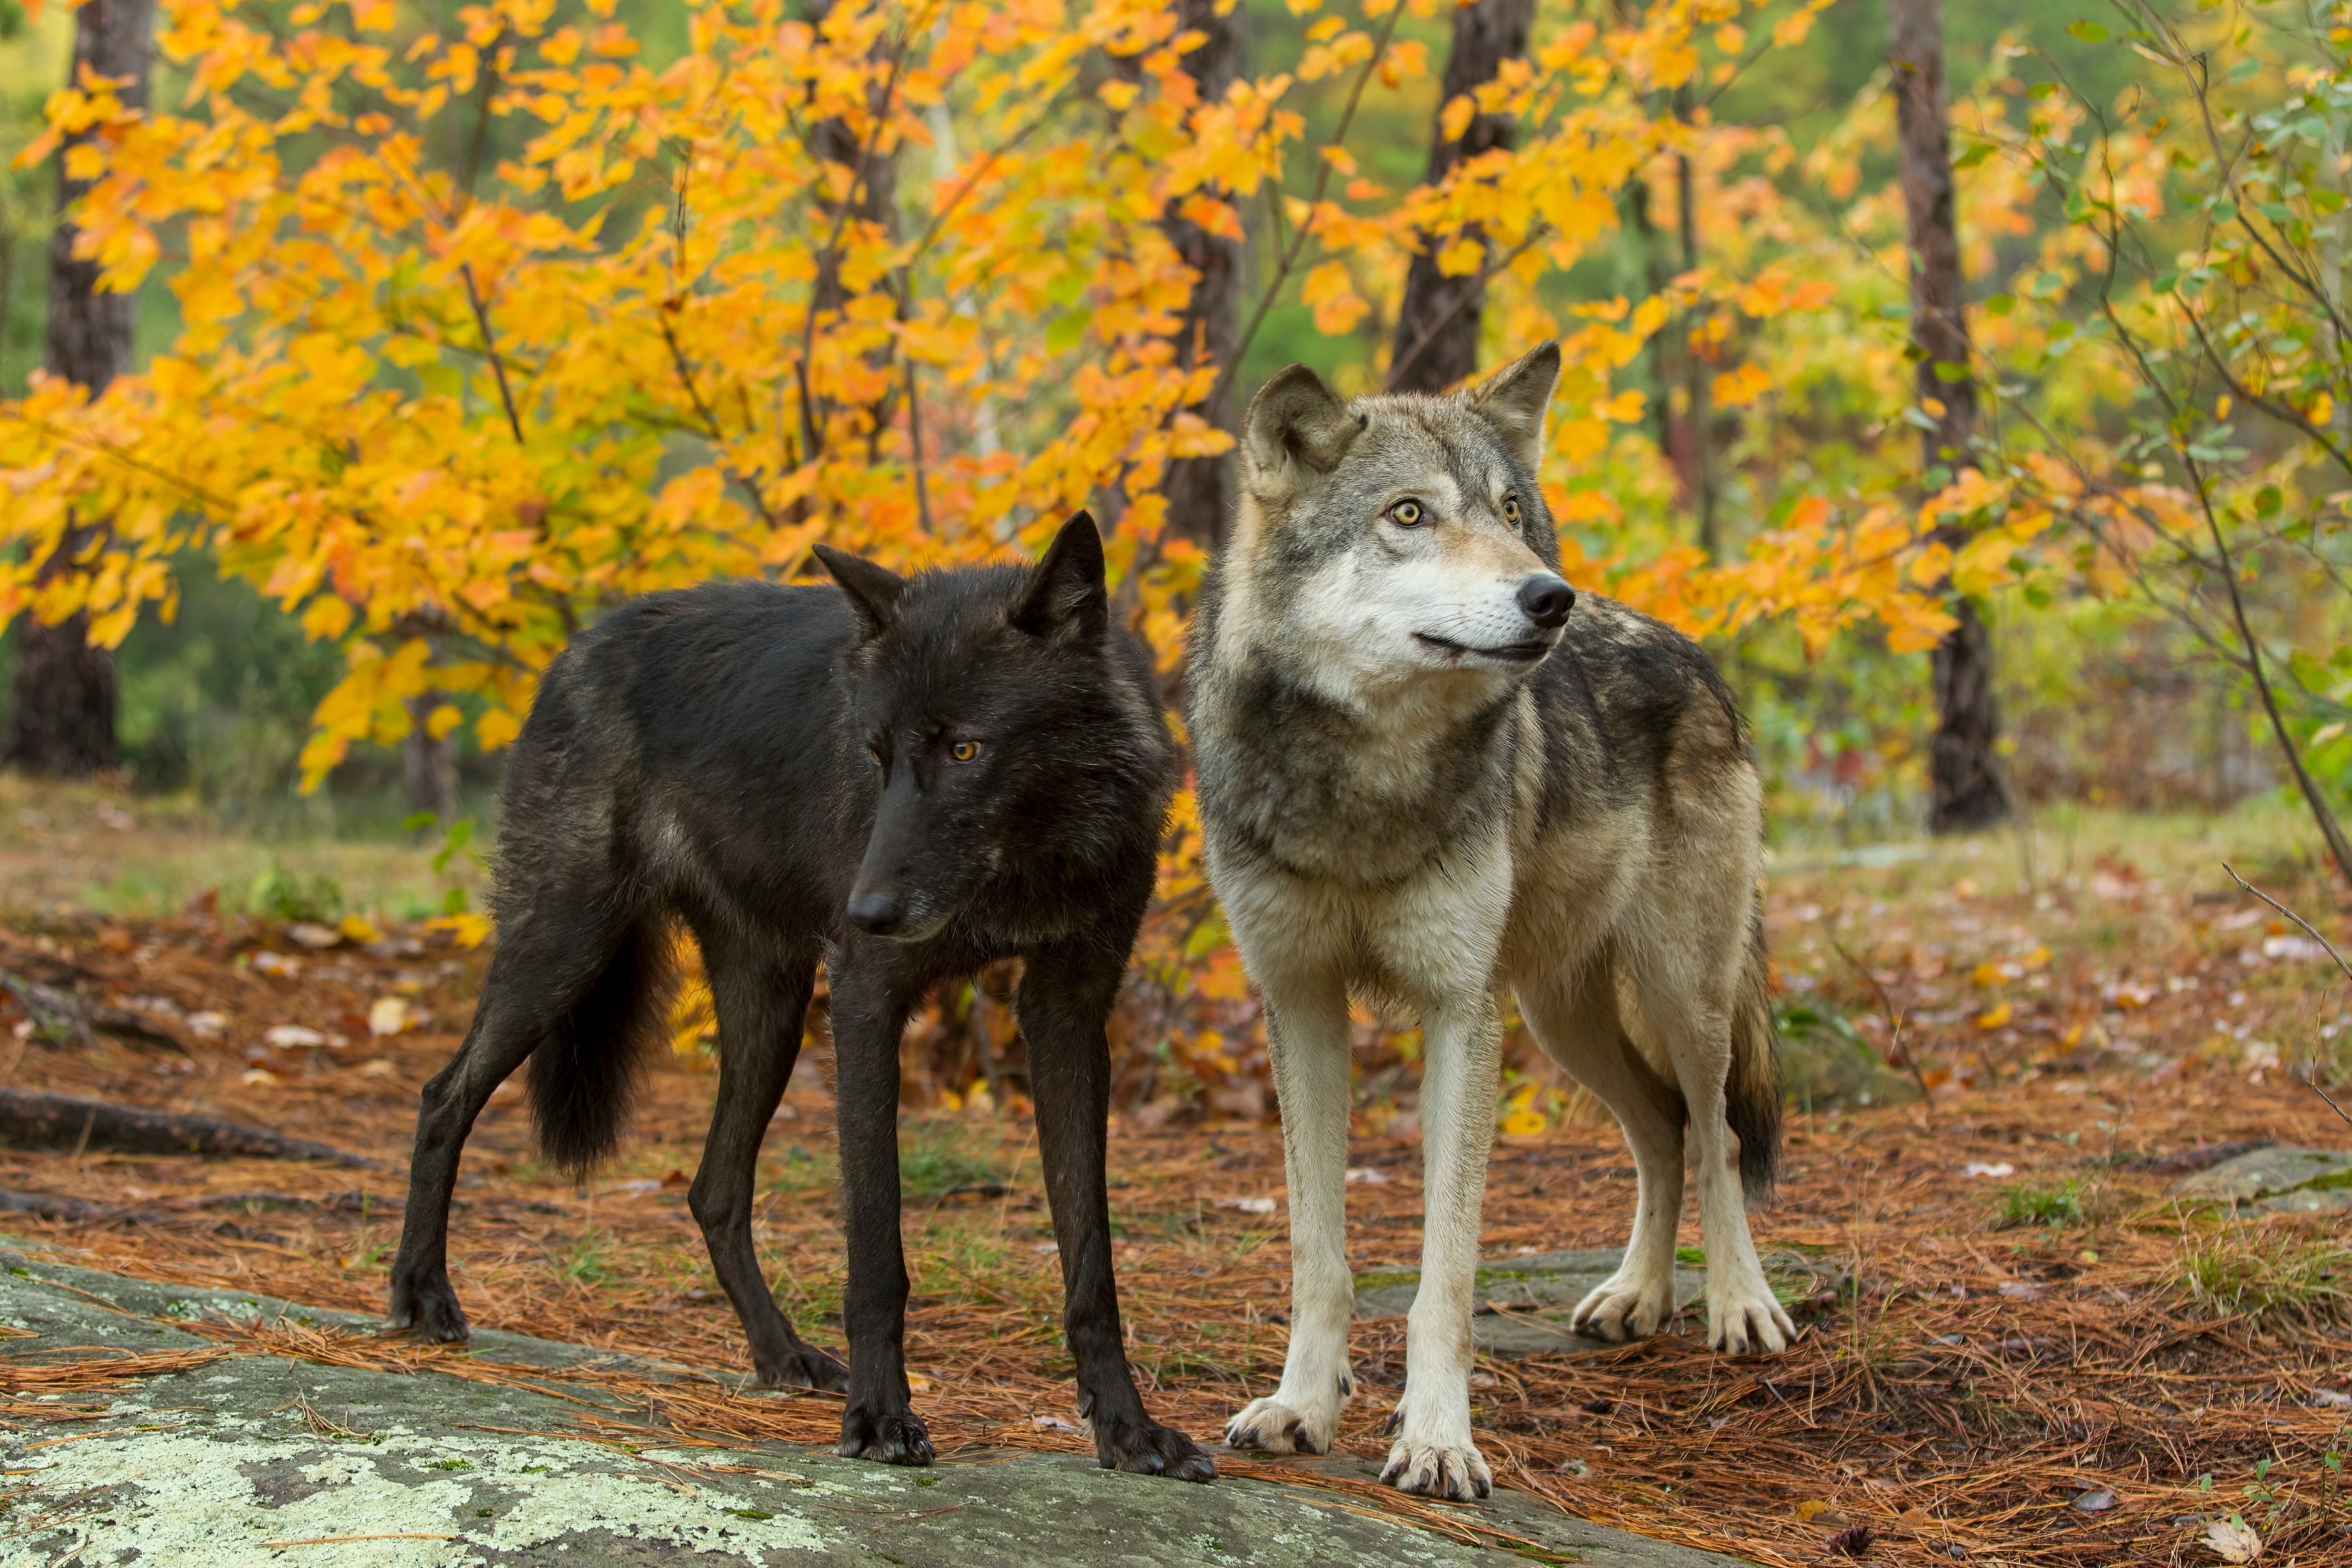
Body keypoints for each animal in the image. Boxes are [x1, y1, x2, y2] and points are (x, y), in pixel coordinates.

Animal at [386, 514, 1214, 1482]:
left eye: (966, 749)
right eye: (876, 756)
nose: (864, 911)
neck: (1030, 862)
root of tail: (582, 642)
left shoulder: (1070, 1017)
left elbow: (1091, 1260)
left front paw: (1127, 1428)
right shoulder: (865, 1002)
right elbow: (877, 1250)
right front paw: (882, 1417)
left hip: (766, 1015)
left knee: (711, 1190)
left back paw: (779, 1353)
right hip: (564, 949)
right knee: (442, 1096)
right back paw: (421, 1294)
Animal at [1187, 345, 1793, 1500]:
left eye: (1512, 511)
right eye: (1409, 513)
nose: (1548, 596)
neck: (1367, 783)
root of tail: (1695, 653)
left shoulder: (1459, 1012)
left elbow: (1447, 1275)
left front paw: (1435, 1441)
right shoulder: (1301, 1002)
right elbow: (1317, 1255)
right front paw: (1300, 1408)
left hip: (1680, 993)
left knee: (1718, 1133)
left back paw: (1739, 1306)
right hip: (1563, 1021)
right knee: (1661, 1130)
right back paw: (1636, 1299)